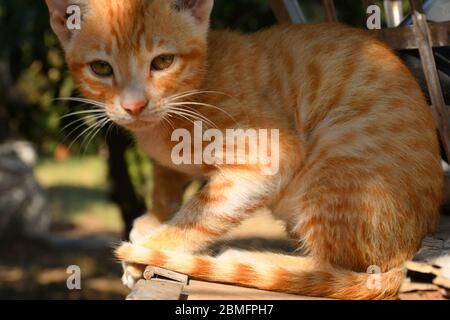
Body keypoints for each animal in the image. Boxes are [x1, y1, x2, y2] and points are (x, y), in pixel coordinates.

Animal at [46, 0, 442, 300]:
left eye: (162, 61)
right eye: (100, 68)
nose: (134, 106)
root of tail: (407, 252)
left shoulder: (270, 155)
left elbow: (198, 215)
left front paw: (150, 248)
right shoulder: (167, 162)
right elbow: (167, 180)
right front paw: (153, 218)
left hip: (340, 158)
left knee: (333, 268)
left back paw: (248, 258)